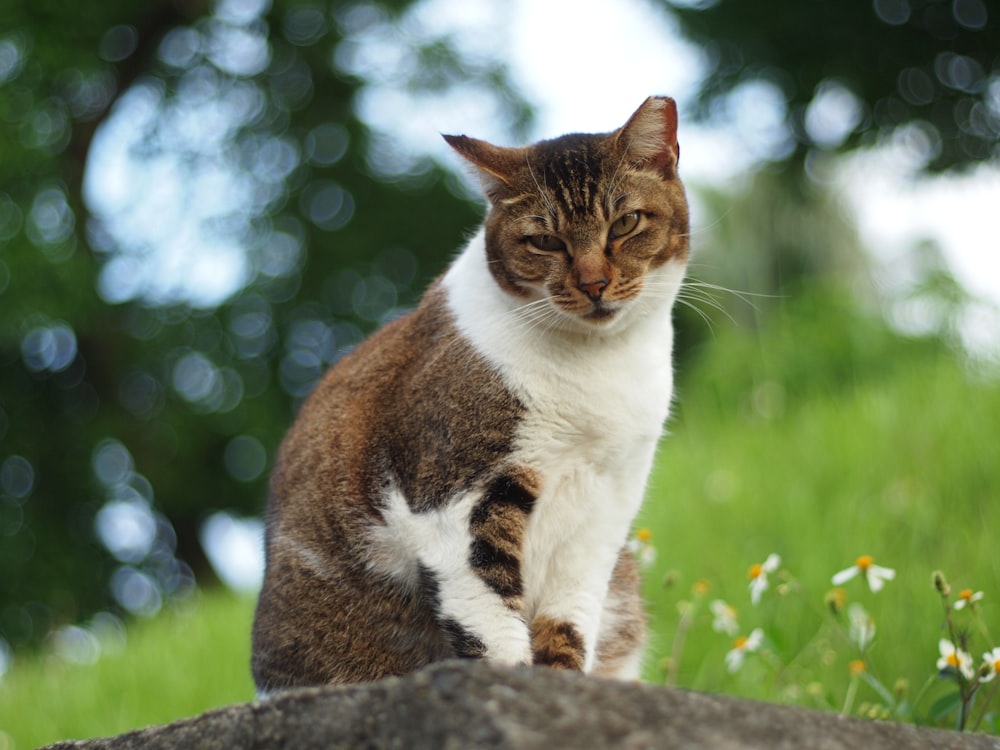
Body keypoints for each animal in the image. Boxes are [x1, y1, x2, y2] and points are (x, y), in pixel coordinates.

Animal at [250, 95, 688, 692]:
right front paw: (515, 687)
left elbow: (569, 623)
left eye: (625, 223)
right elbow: (489, 617)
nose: (594, 284)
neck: (596, 366)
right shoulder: (455, 496)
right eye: (545, 240)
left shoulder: (606, 504)